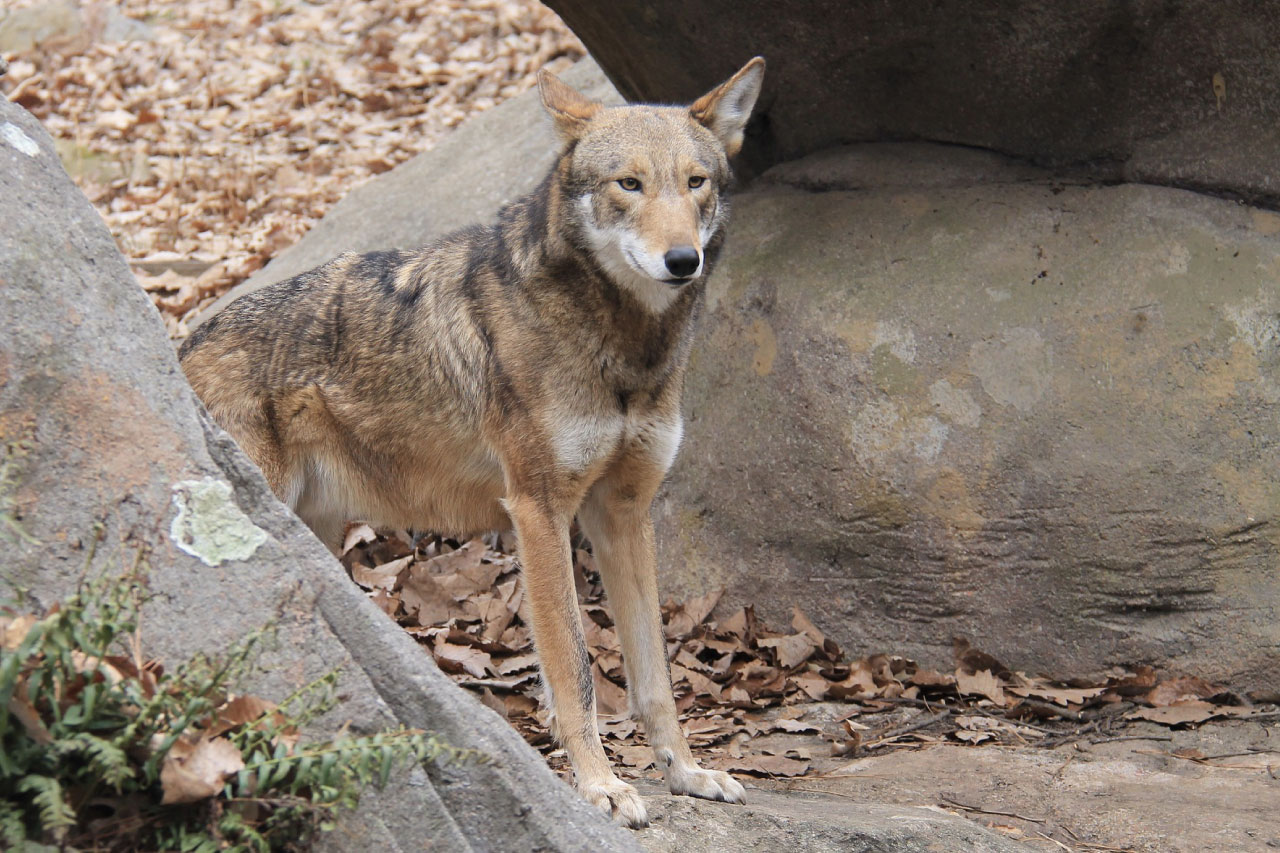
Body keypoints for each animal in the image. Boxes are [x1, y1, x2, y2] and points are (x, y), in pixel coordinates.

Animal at [179, 57, 765, 828]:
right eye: (628, 184)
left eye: (694, 181)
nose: (681, 260)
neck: (624, 349)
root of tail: (182, 343)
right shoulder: (540, 512)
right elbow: (574, 670)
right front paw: (600, 786)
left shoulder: (623, 513)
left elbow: (655, 677)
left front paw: (689, 773)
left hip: (318, 537)